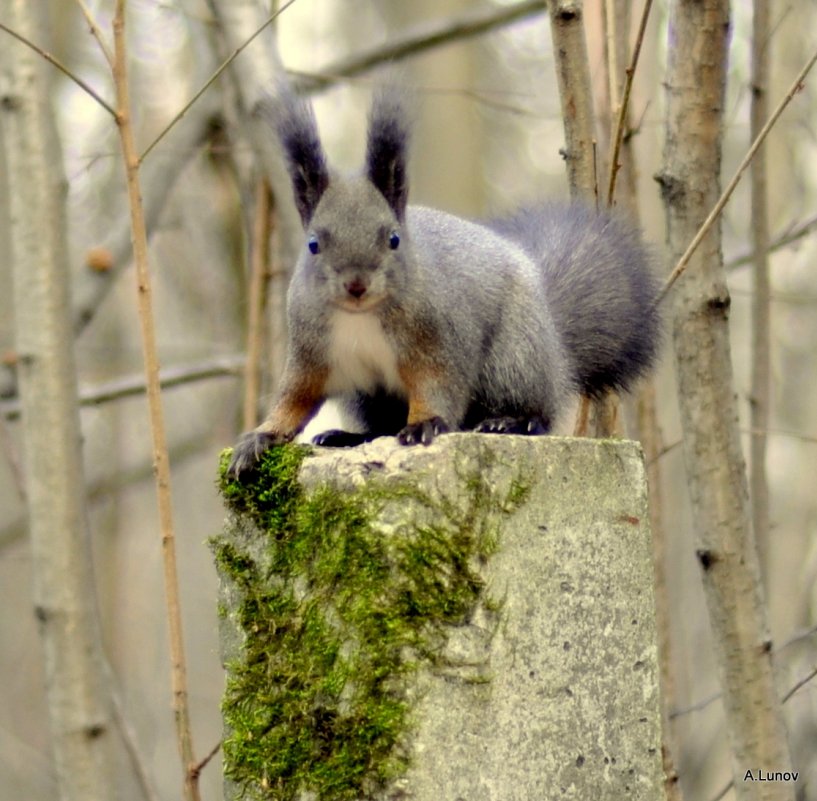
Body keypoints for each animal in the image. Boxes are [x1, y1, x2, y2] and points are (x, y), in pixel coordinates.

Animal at [226, 85, 660, 478]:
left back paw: (509, 421)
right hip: (367, 394)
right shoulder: (311, 350)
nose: (356, 285)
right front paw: (261, 436)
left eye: (394, 239)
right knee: (381, 426)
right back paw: (348, 436)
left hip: (514, 359)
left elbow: (437, 385)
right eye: (313, 244)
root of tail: (555, 348)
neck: (361, 317)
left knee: (538, 413)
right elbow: (295, 397)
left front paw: (424, 424)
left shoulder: (436, 339)